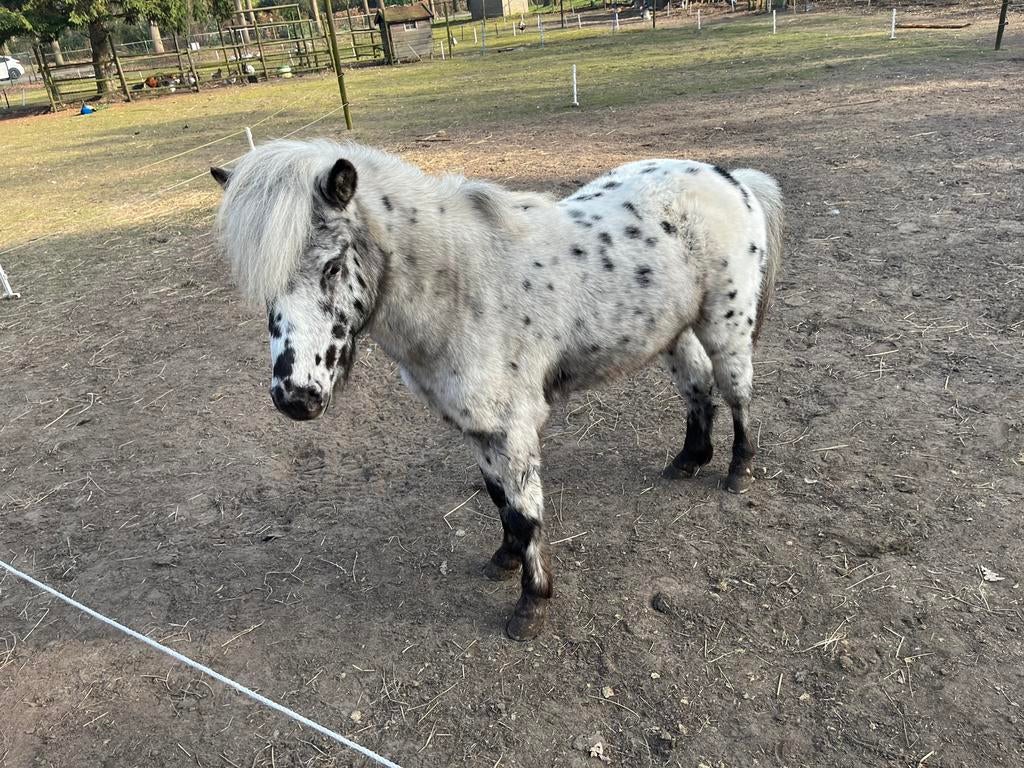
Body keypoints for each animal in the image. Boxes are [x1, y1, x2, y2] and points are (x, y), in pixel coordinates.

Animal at [211, 139, 783, 641]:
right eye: (262, 286)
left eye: (331, 265)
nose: (295, 397)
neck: (464, 287)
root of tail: (731, 179)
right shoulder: (478, 426)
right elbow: (500, 500)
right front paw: (503, 560)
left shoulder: (512, 427)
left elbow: (526, 514)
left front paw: (531, 606)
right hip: (674, 331)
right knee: (698, 386)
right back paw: (689, 459)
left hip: (726, 324)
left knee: (735, 390)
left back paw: (738, 470)